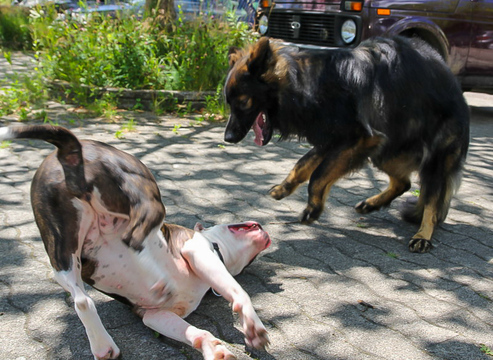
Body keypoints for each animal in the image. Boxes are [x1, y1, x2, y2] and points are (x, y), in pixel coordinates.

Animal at [0, 124, 270, 360]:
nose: (265, 232)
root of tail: (71, 150)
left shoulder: (155, 315)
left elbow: (195, 333)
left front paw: (213, 349)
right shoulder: (196, 248)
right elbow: (238, 291)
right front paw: (251, 324)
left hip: (61, 249)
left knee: (83, 300)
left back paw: (104, 346)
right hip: (144, 192)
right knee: (135, 237)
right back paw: (155, 280)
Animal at [223, 35, 468, 252]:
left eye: (243, 102)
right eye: (229, 103)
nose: (228, 138)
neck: (304, 84)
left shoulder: (361, 139)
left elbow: (318, 175)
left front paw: (313, 208)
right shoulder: (333, 140)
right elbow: (303, 165)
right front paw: (285, 188)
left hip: (431, 159)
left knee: (432, 203)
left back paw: (423, 235)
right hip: (385, 153)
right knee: (404, 183)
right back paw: (373, 203)